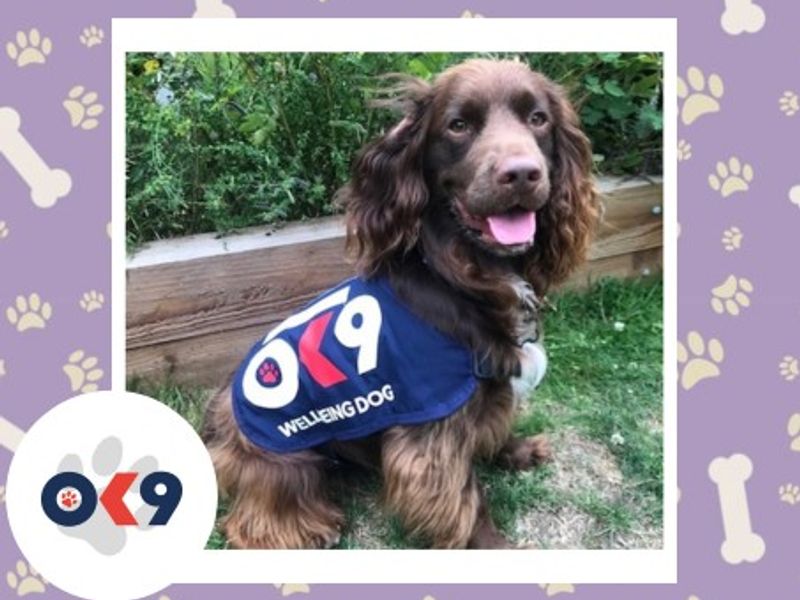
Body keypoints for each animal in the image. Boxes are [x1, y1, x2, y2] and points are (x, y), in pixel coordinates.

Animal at [203, 57, 596, 548]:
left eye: (538, 118)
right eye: (458, 125)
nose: (522, 173)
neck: (463, 274)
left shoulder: (488, 393)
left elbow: (496, 427)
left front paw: (519, 451)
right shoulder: (432, 431)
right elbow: (466, 500)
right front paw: (494, 545)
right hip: (284, 462)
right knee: (254, 520)